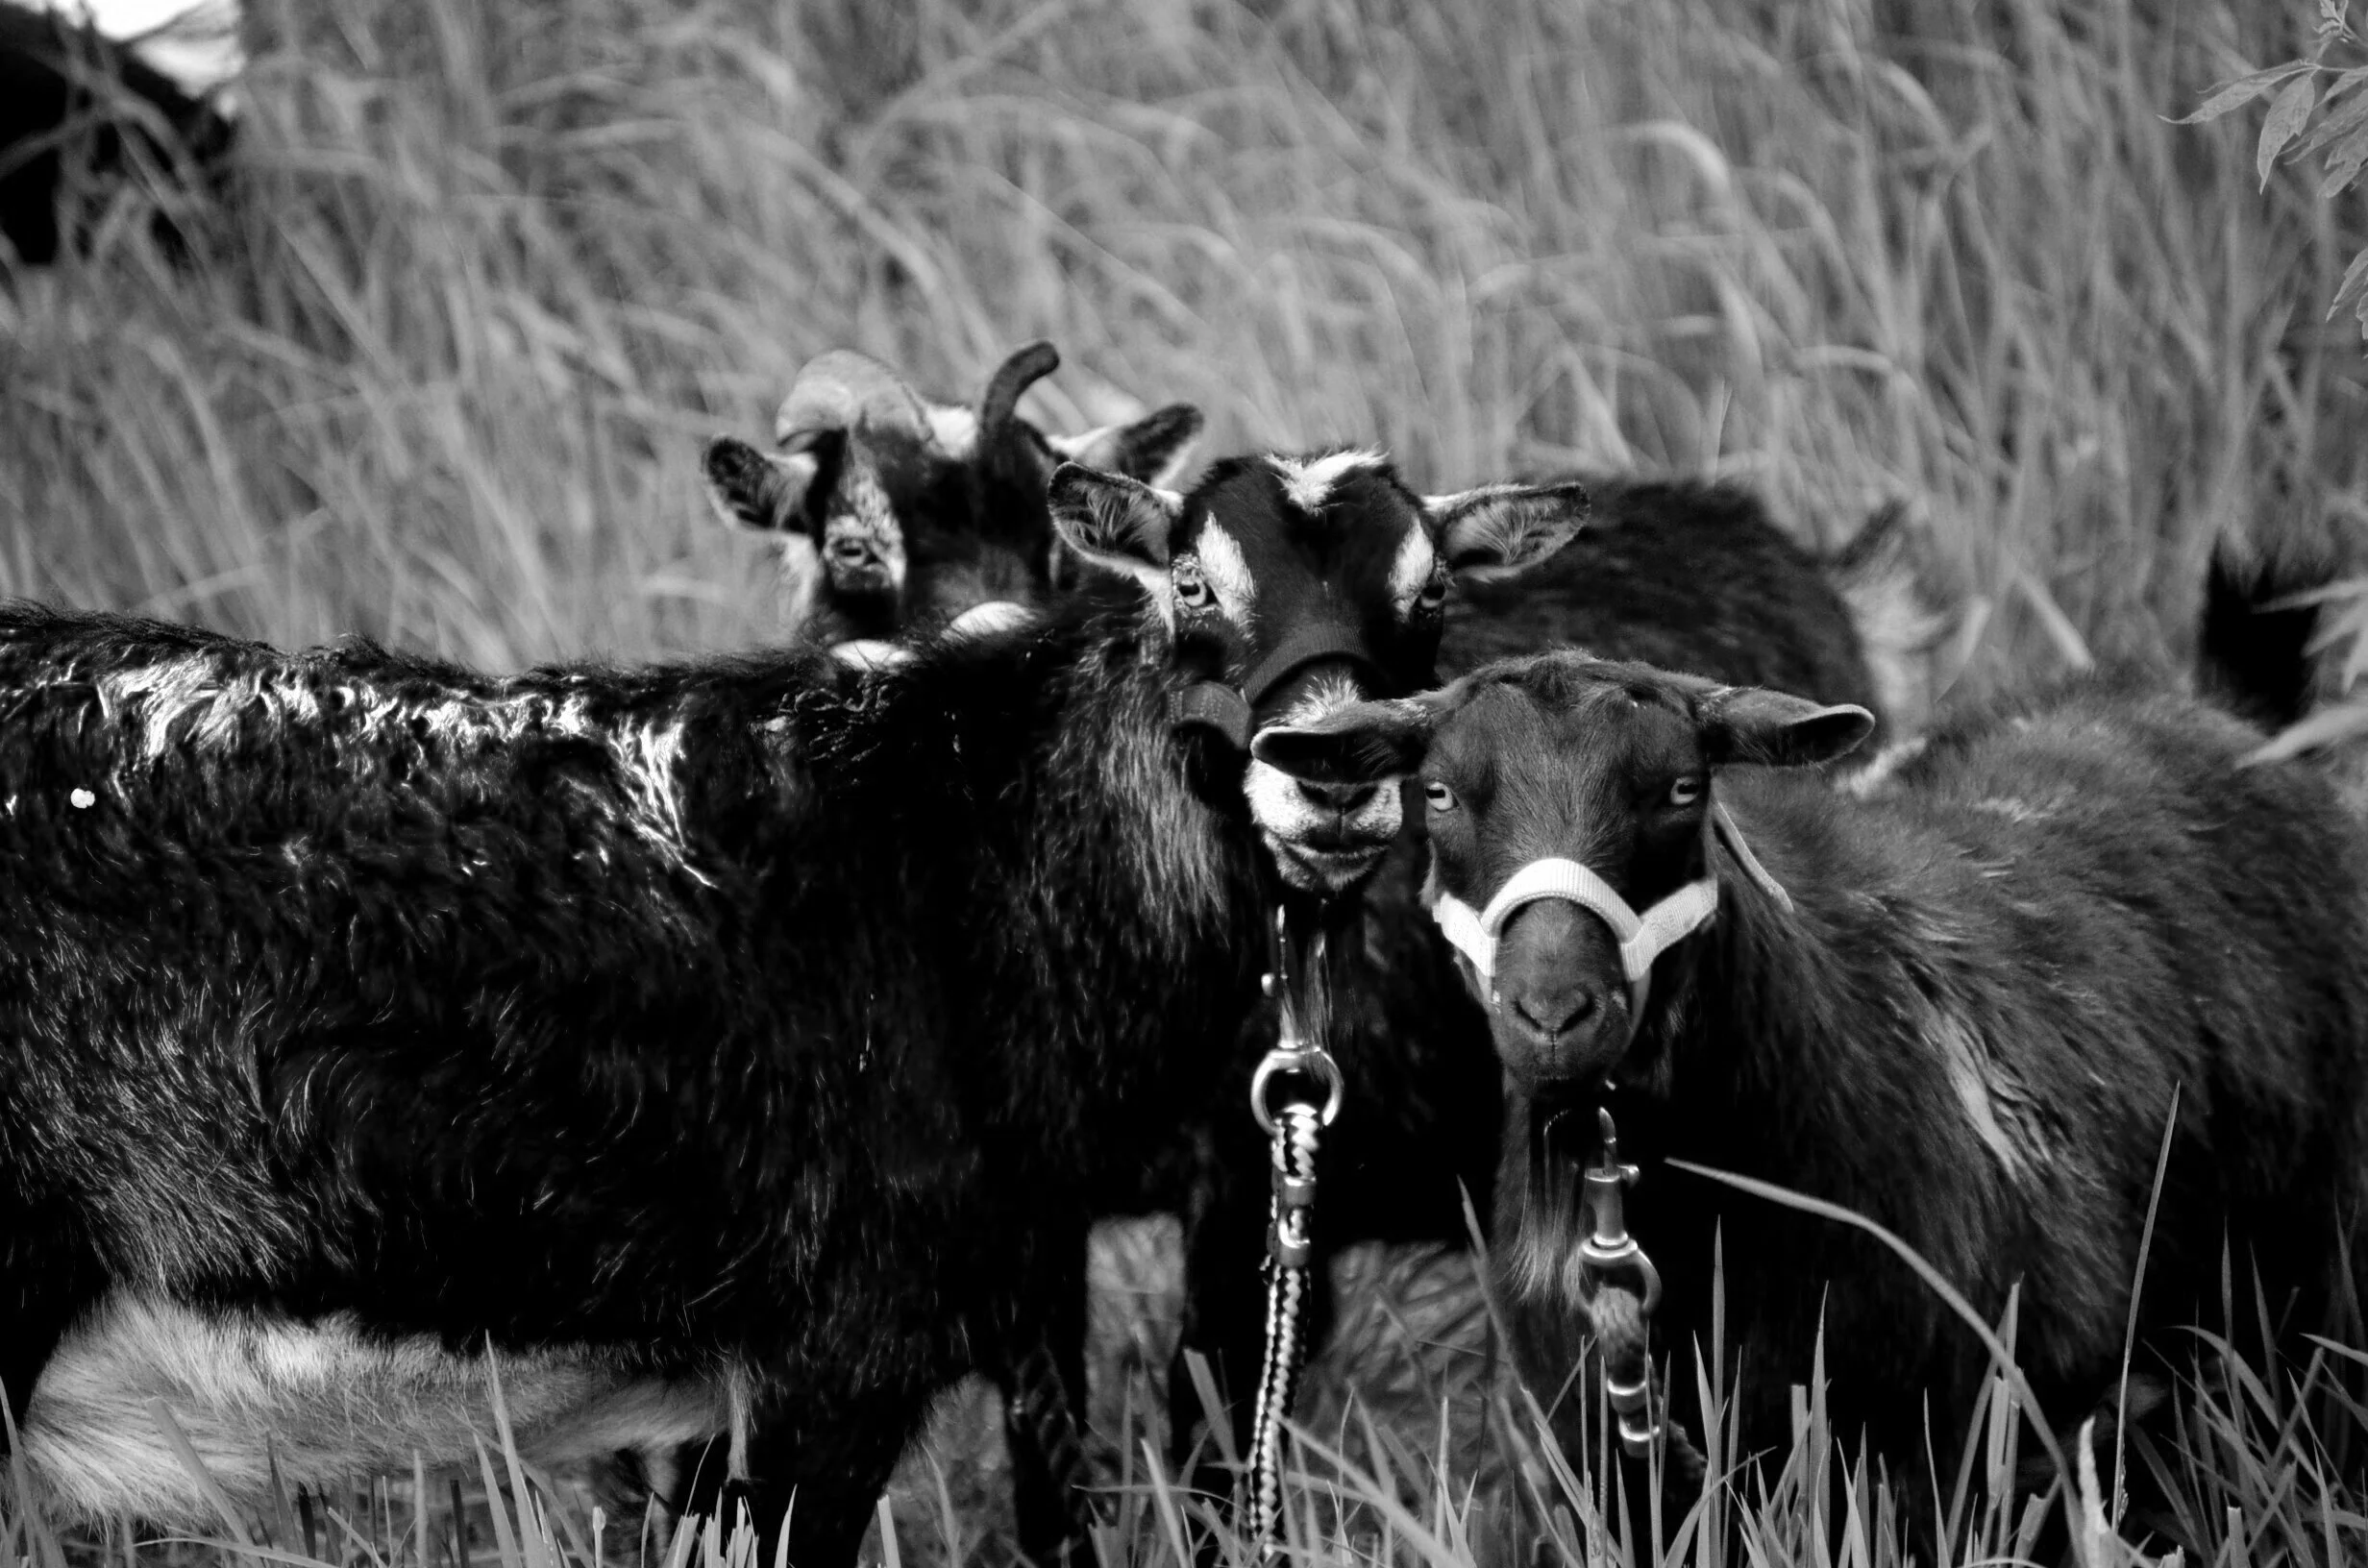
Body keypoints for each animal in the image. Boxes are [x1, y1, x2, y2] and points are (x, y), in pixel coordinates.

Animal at [1250, 647, 2368, 1522]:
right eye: (1439, 793)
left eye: (1682, 789)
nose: (1556, 1012)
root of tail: (2208, 712)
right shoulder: (1609, 1456)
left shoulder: (1946, 1441)